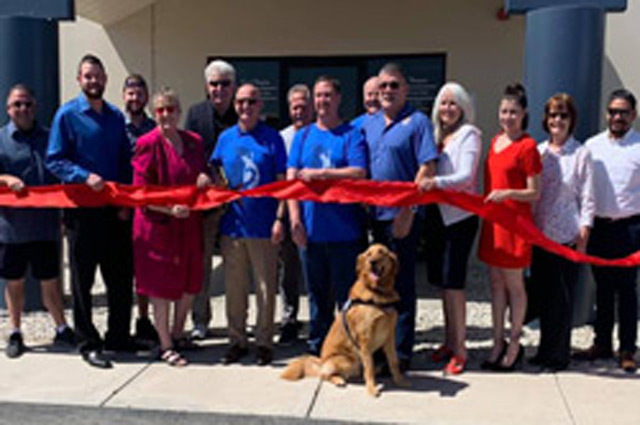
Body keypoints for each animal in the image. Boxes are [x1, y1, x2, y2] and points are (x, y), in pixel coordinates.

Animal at [280, 243, 410, 396]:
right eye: (368, 254)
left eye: (382, 252)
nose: (372, 262)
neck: (377, 293)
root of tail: (321, 361)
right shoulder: (365, 340)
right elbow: (369, 368)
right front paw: (372, 389)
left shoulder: (389, 337)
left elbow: (394, 362)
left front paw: (400, 381)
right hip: (347, 360)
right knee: (324, 375)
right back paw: (338, 380)